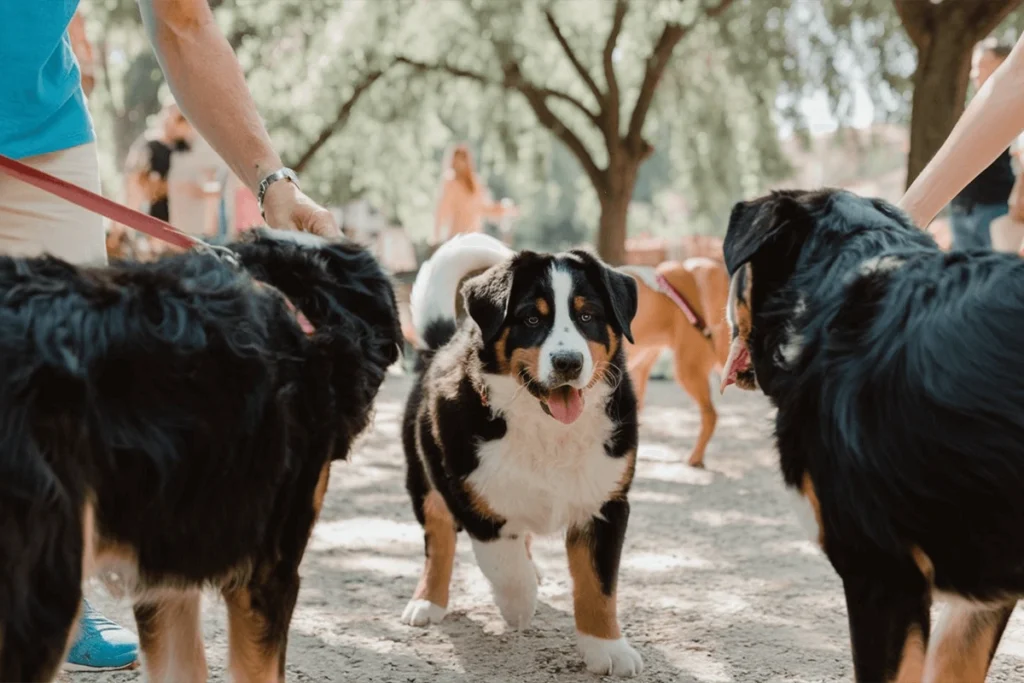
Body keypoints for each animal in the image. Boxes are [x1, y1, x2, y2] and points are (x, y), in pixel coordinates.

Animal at [397, 235, 638, 679]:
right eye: (530, 319)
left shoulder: (606, 503)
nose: (568, 362)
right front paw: (518, 604)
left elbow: (598, 584)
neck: (546, 428)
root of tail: (440, 344)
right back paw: (427, 601)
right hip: (423, 477)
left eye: (587, 316)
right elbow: (502, 560)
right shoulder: (468, 493)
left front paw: (607, 647)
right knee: (439, 539)